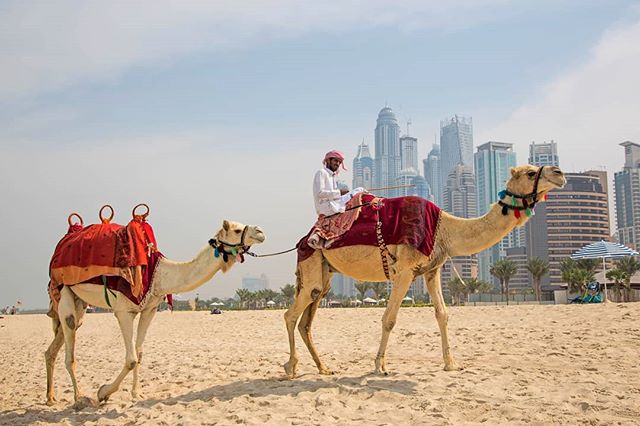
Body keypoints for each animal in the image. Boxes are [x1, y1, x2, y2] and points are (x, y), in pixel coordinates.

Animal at [45, 219, 265, 407]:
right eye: (236, 229)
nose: (260, 232)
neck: (160, 274)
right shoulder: (123, 311)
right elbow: (131, 359)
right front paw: (102, 393)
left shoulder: (149, 309)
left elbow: (140, 353)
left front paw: (136, 394)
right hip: (64, 291)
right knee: (70, 341)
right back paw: (79, 398)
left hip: (80, 302)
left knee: (55, 346)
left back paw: (50, 397)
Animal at [284, 164, 566, 378]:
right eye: (530, 172)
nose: (560, 172)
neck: (444, 228)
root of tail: (304, 239)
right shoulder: (405, 270)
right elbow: (389, 319)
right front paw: (380, 366)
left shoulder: (432, 270)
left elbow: (443, 315)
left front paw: (451, 364)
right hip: (312, 260)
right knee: (291, 315)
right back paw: (291, 367)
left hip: (325, 272)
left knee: (307, 318)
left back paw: (323, 368)